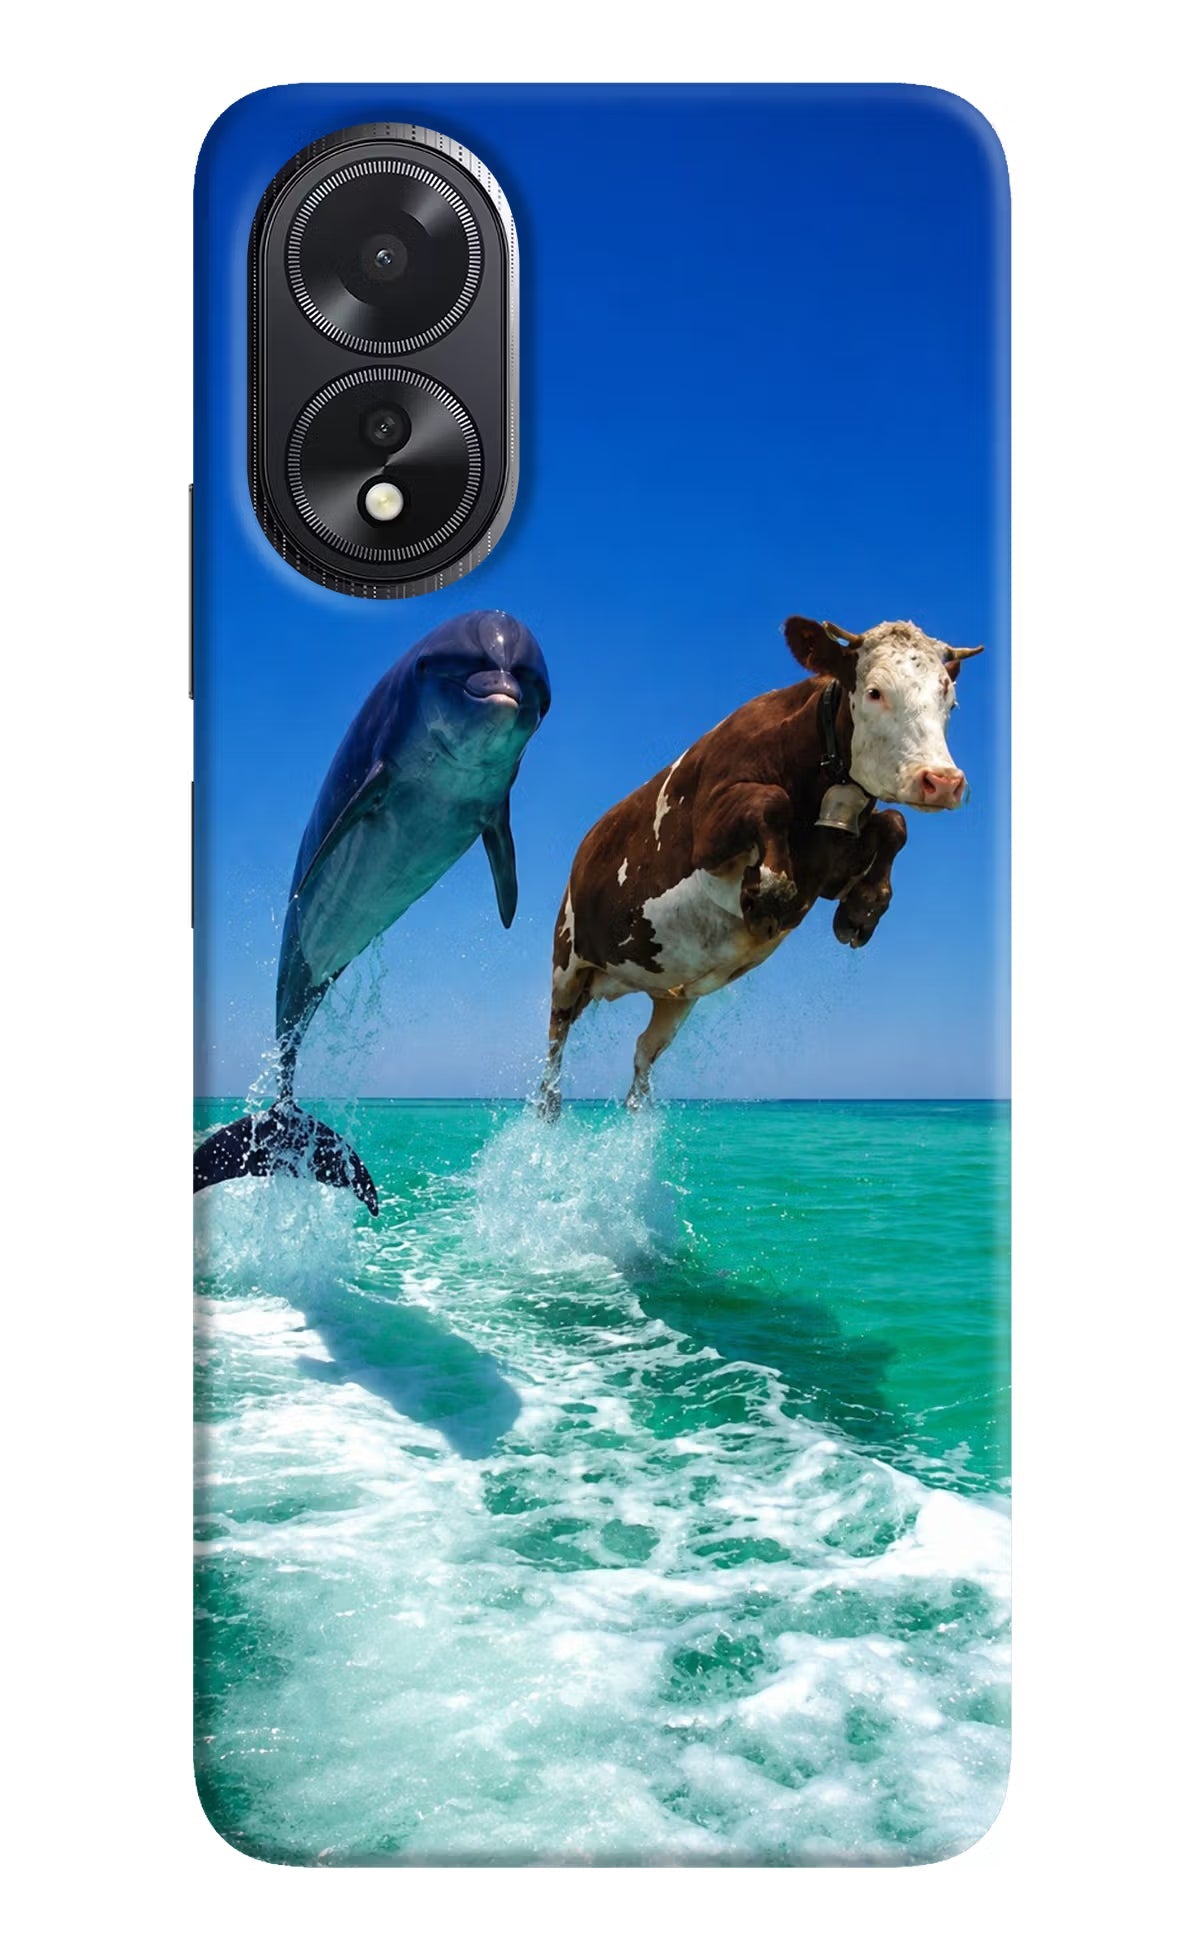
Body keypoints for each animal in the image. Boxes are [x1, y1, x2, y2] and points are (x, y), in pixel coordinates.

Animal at [537, 615, 983, 1116]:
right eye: (874, 691)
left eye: (950, 699)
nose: (942, 781)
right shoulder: (708, 834)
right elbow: (772, 802)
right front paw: (768, 892)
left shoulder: (829, 867)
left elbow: (894, 823)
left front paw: (861, 910)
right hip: (566, 962)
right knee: (554, 1043)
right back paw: (548, 1106)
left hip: (672, 995)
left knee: (642, 1053)